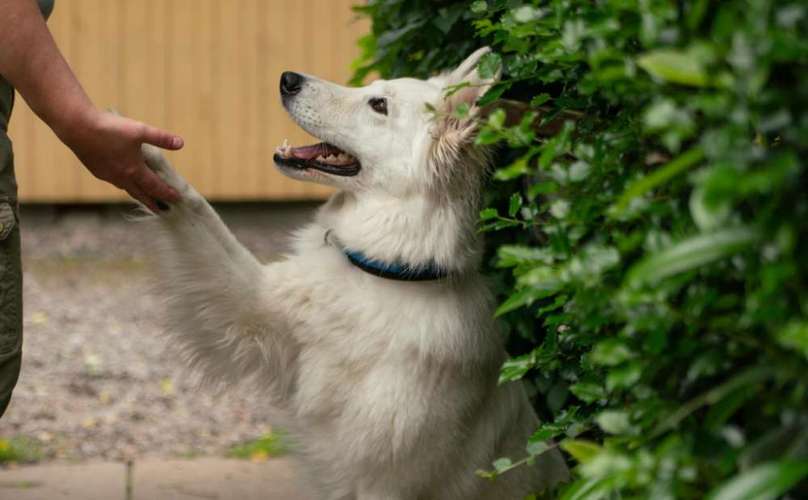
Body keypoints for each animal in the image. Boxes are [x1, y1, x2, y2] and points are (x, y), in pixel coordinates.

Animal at [140, 47, 568, 500]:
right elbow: (199, 212)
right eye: (372, 89)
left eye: (378, 105)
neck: (382, 271)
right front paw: (147, 159)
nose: (287, 78)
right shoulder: (255, 306)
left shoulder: (384, 481)